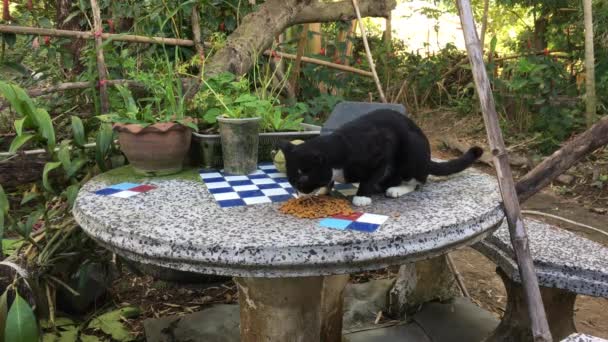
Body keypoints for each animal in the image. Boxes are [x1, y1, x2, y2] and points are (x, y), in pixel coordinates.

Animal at [278, 109, 482, 206]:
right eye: (291, 180)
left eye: (303, 178)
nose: (299, 192)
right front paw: (322, 190)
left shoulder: (382, 152)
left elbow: (370, 177)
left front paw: (362, 196)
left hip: (413, 150)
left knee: (418, 181)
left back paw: (396, 189)